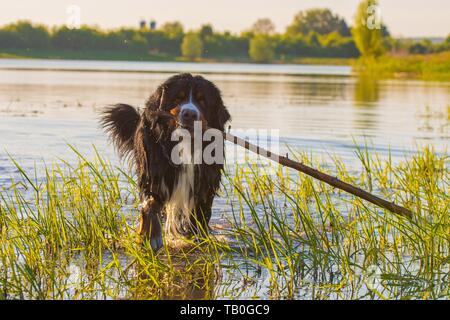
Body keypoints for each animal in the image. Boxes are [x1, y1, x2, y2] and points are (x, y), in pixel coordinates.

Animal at [100, 74, 230, 251]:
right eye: (177, 98)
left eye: (202, 101)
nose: (189, 114)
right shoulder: (155, 175)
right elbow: (150, 204)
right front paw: (150, 236)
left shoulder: (205, 184)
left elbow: (199, 215)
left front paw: (196, 237)